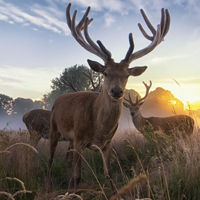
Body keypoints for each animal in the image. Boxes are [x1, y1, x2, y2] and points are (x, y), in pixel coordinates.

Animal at [47, 2, 171, 191]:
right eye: (105, 73)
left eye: (127, 75)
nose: (117, 91)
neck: (99, 129)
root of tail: (58, 100)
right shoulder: (80, 138)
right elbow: (78, 176)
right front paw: (75, 190)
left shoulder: (107, 143)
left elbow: (109, 175)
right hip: (54, 129)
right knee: (50, 160)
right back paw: (51, 185)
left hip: (70, 139)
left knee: (67, 159)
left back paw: (68, 187)